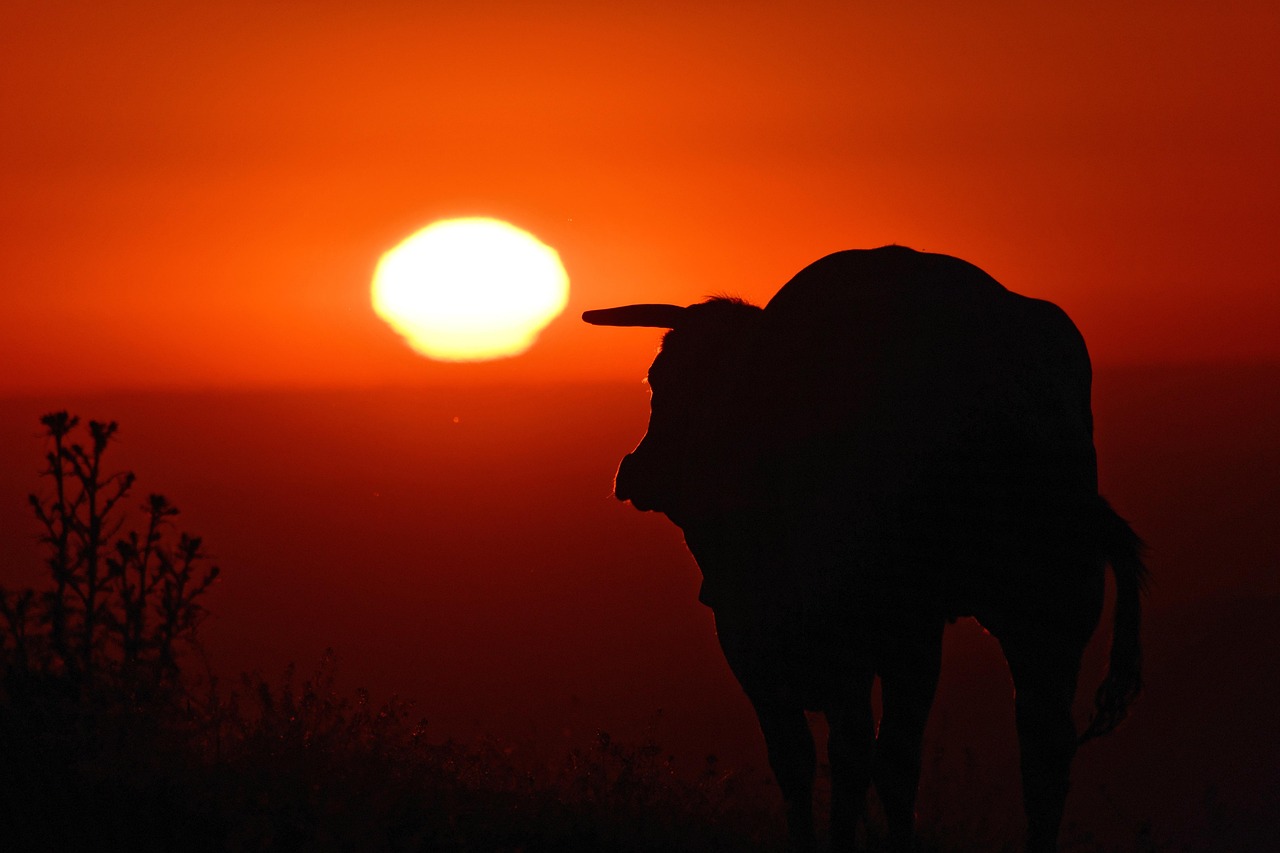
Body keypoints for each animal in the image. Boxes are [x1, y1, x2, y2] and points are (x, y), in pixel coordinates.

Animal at [583, 246, 1146, 852]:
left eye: (660, 381)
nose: (635, 471)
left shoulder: (769, 632)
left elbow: (820, 757)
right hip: (1045, 610)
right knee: (1038, 754)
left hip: (912, 627)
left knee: (889, 756)